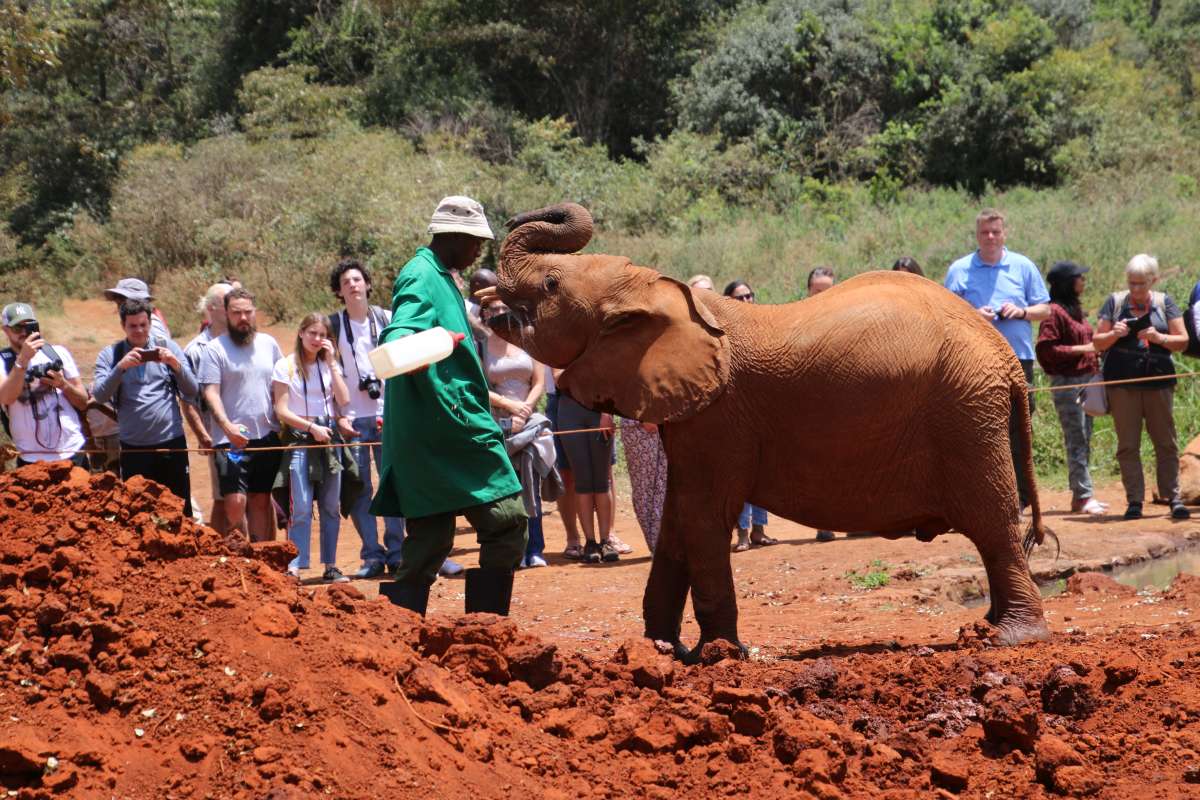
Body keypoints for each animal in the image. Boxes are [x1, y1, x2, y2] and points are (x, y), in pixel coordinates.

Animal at [482, 202, 1050, 660]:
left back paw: (1010, 637)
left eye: (551, 285)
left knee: (992, 521)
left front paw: (716, 655)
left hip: (966, 412)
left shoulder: (719, 415)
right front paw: (662, 650)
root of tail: (1005, 355)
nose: (507, 220)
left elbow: (703, 516)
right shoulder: (693, 416)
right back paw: (987, 626)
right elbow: (677, 519)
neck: (664, 293)